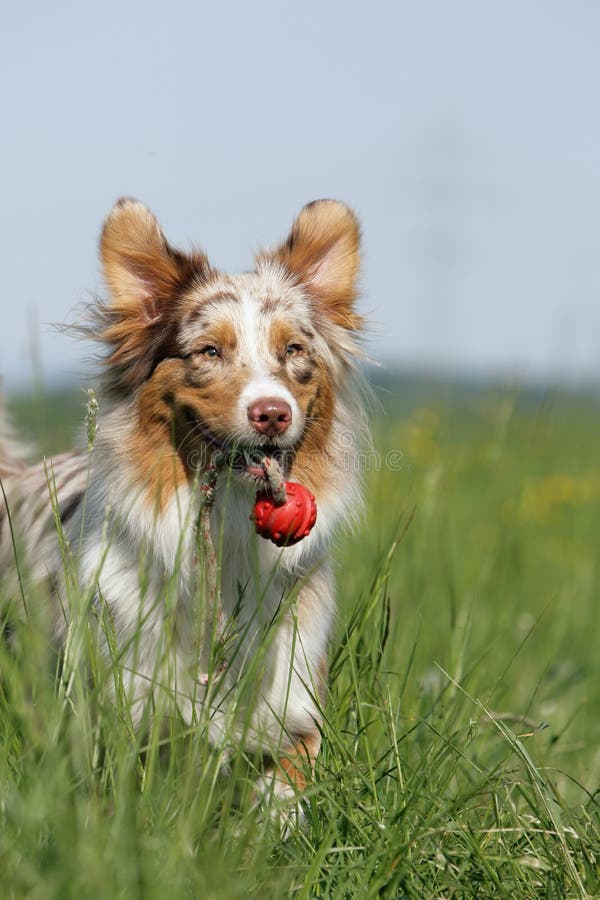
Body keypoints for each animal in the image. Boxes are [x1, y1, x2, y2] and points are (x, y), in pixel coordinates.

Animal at [0, 200, 366, 820]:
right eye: (209, 351)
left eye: (293, 350)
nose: (273, 413)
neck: (227, 530)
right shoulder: (120, 708)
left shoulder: (294, 700)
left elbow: (285, 783)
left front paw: (264, 823)